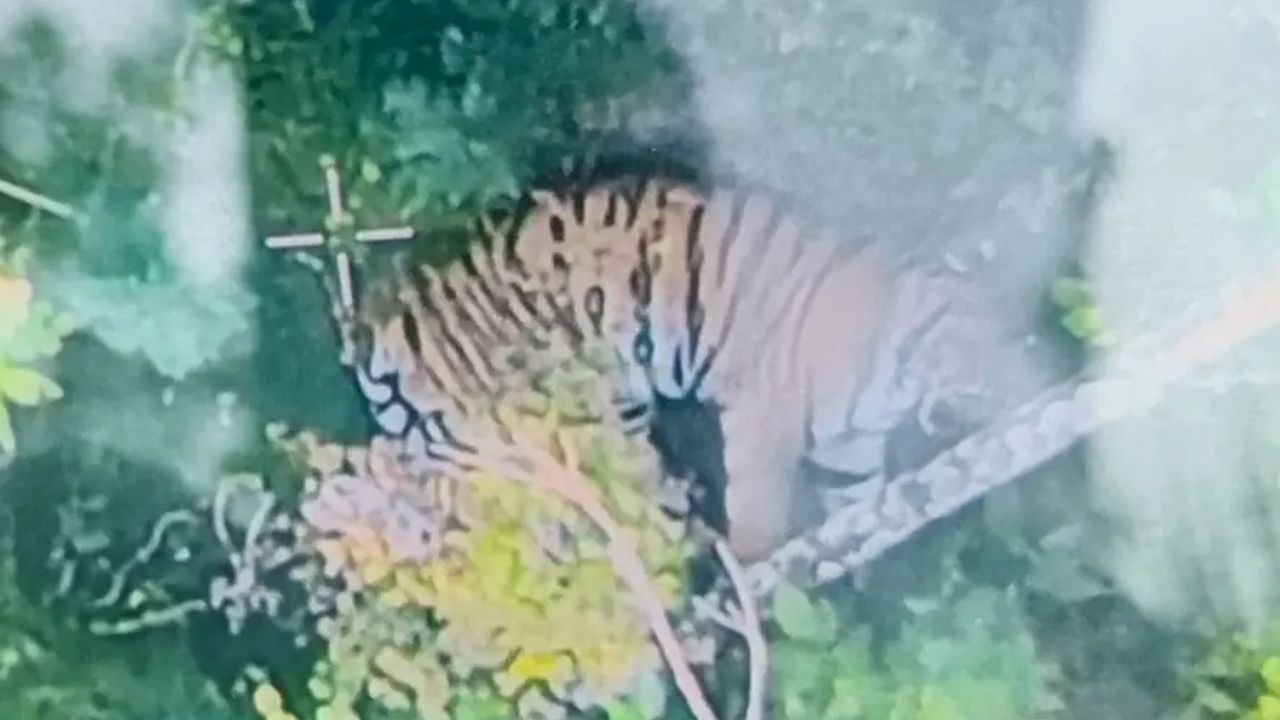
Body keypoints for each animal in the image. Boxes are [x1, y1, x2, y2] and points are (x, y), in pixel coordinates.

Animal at [350, 176, 998, 562]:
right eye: (974, 342)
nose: (991, 397)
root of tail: (401, 323)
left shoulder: (850, 450)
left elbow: (858, 501)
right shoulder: (766, 415)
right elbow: (762, 509)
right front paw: (758, 575)